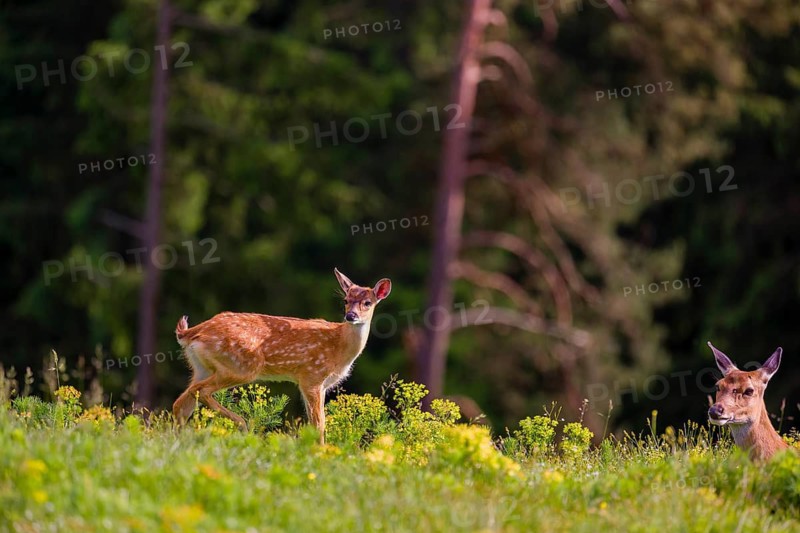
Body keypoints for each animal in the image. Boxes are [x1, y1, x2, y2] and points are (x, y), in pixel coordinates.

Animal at [172, 268, 392, 443]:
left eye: (367, 302)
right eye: (346, 301)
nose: (350, 316)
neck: (339, 347)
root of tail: (193, 332)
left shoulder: (320, 385)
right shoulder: (311, 376)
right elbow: (318, 425)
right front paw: (321, 453)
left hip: (202, 367)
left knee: (181, 404)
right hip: (240, 367)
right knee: (200, 391)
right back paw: (242, 424)